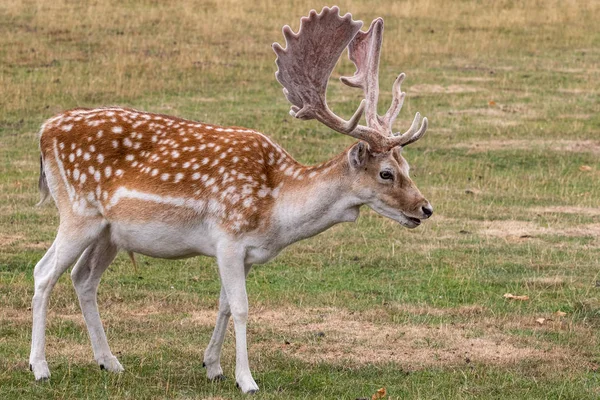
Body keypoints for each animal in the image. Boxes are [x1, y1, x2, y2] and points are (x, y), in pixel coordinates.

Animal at [30, 6, 432, 394]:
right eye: (386, 173)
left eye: (407, 165)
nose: (425, 208)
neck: (276, 214)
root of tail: (44, 131)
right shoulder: (228, 238)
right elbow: (241, 308)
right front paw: (246, 379)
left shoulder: (247, 253)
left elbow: (223, 305)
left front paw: (213, 366)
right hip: (78, 211)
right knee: (44, 272)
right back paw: (40, 367)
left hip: (109, 232)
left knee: (82, 277)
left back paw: (109, 361)